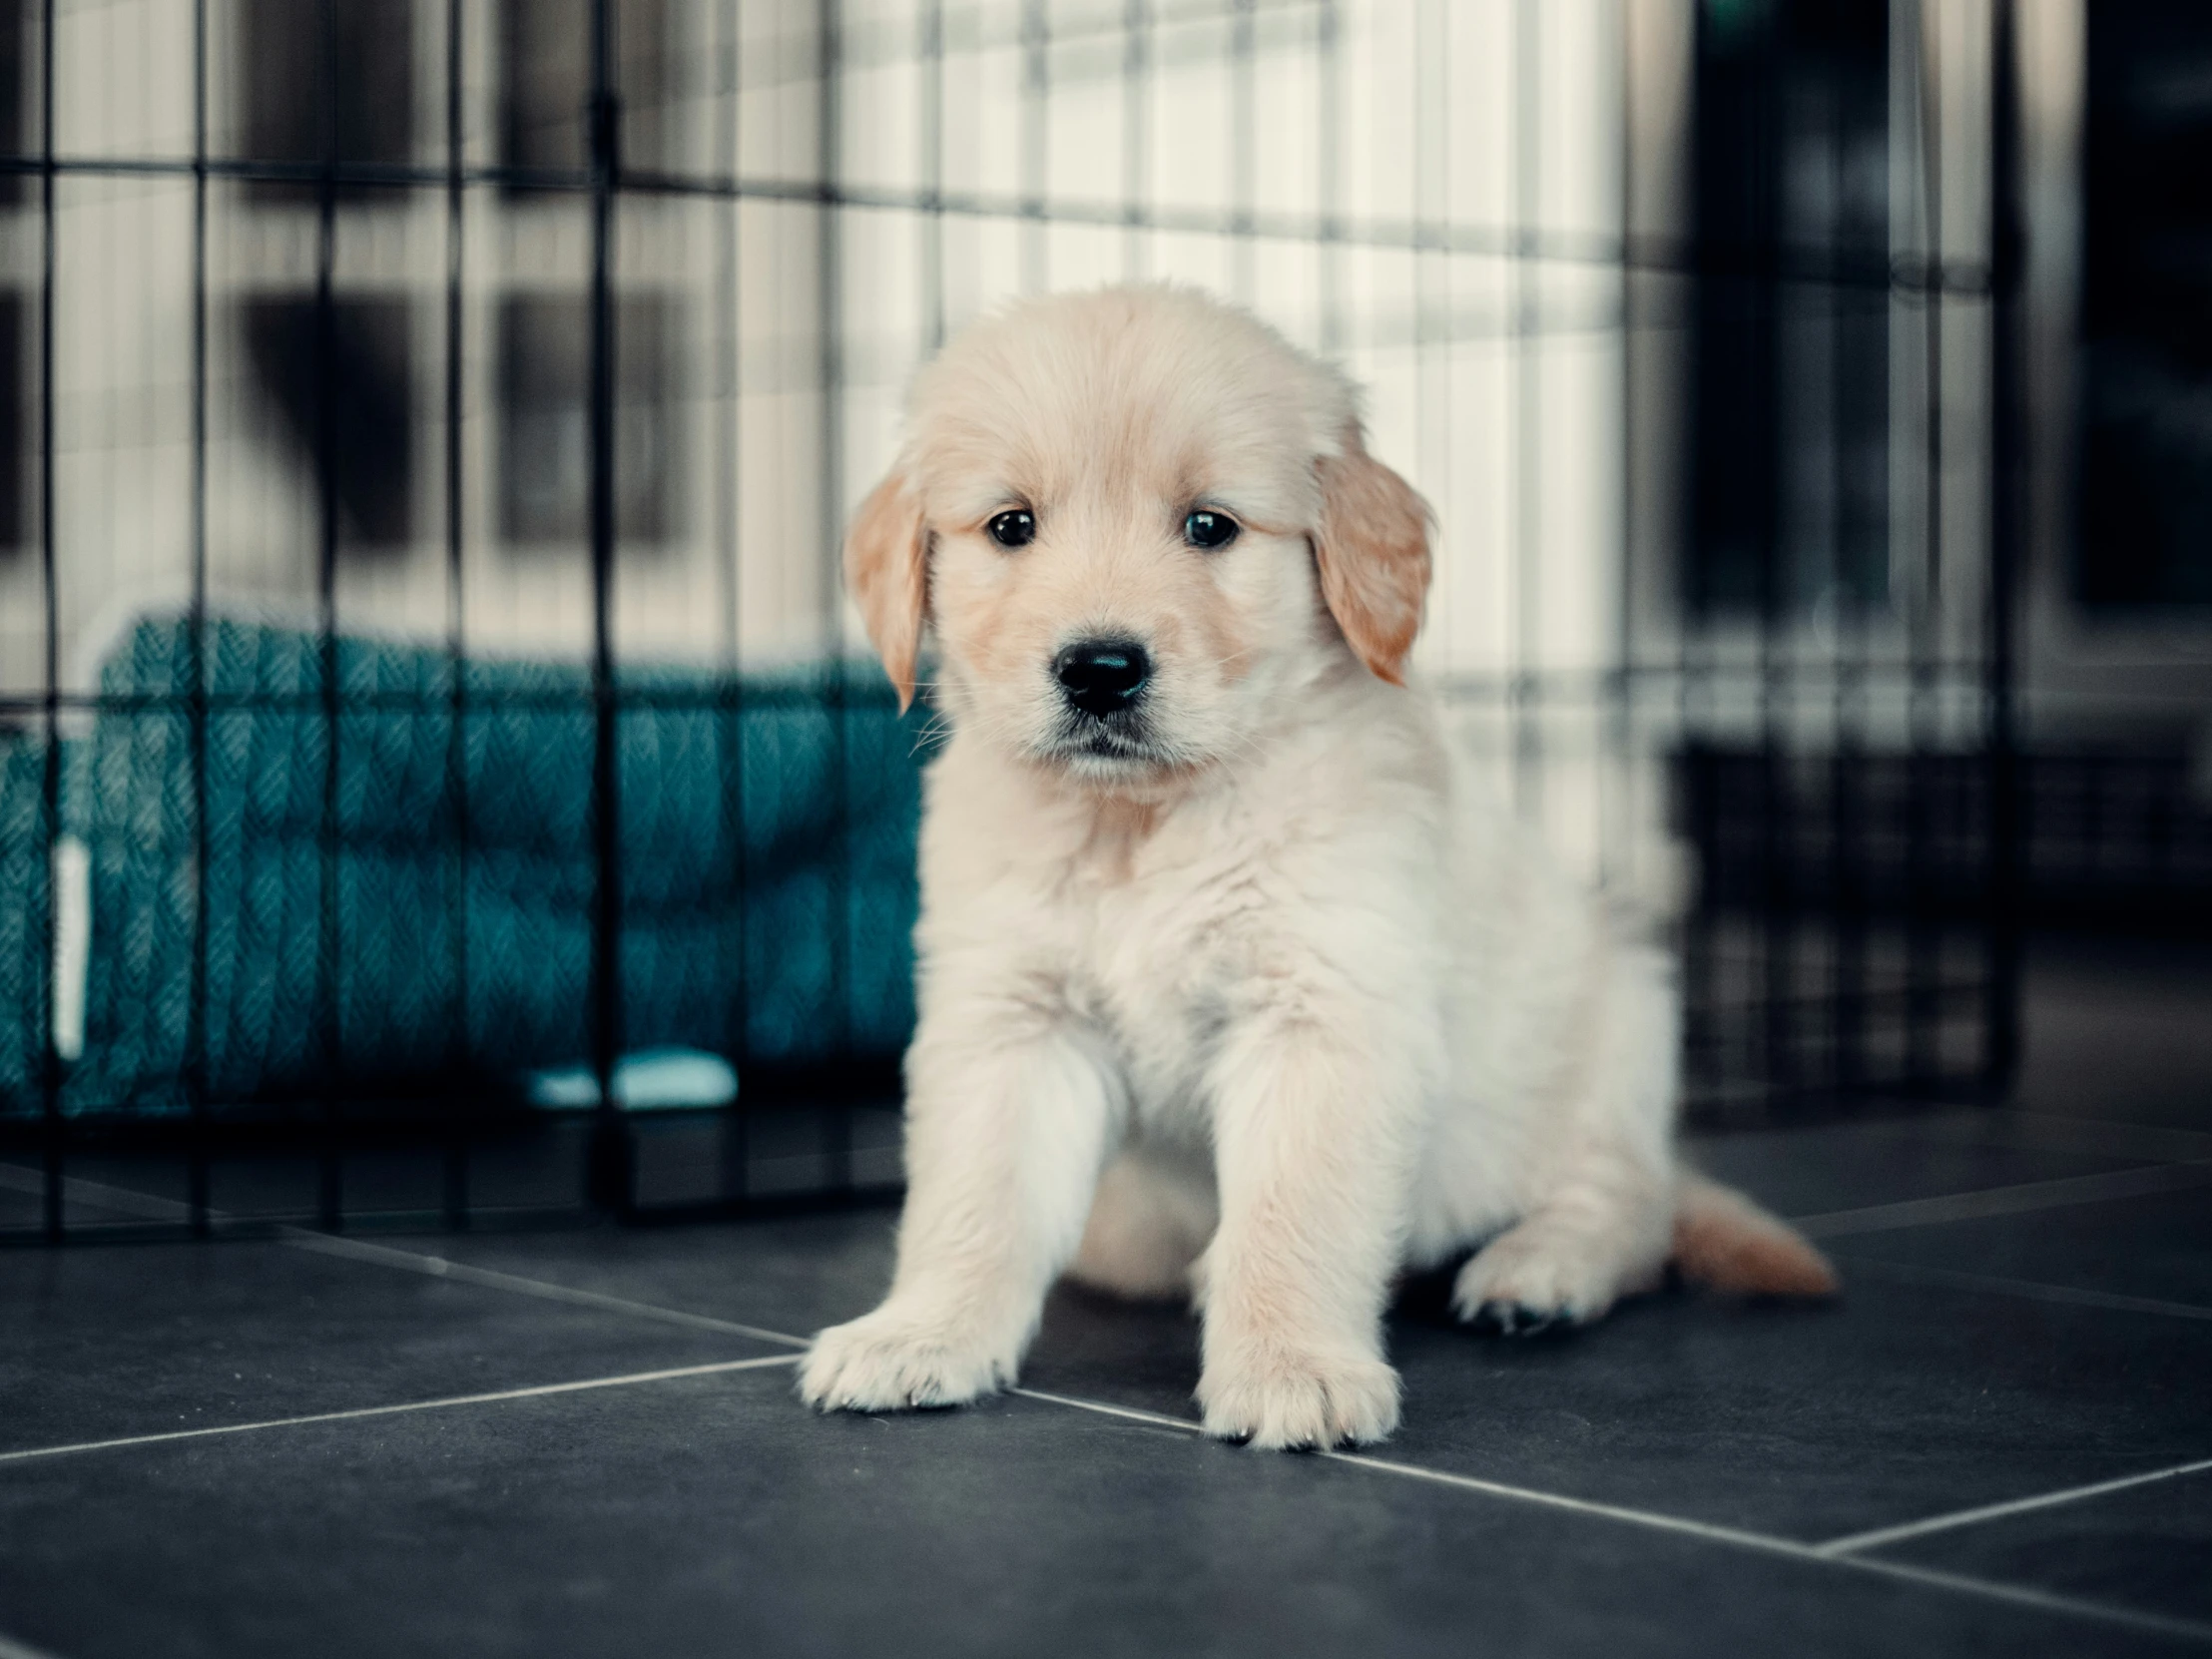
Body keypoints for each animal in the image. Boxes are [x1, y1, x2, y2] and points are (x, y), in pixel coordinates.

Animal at [801, 284, 1831, 1450]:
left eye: (1209, 525)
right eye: (1011, 525)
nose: (1099, 670)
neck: (1146, 822)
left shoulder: (1322, 1010)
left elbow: (1296, 1209)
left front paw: (1294, 1368)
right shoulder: (1011, 1019)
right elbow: (972, 1200)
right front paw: (918, 1334)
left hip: (1622, 1017)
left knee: (1627, 1201)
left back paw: (1537, 1272)